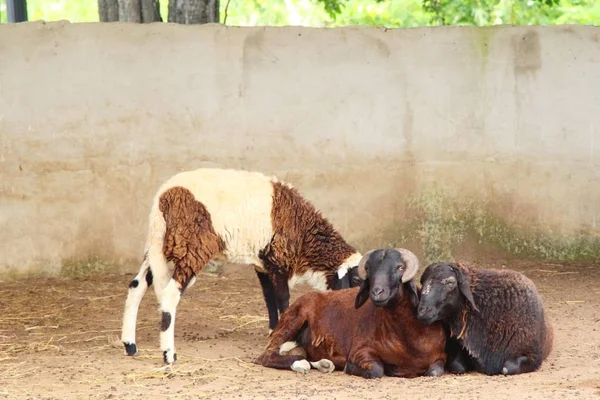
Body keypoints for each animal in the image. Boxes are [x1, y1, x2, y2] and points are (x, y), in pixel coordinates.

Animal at [253, 248, 446, 380]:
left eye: (399, 267)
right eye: (368, 269)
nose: (377, 292)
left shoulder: (440, 359)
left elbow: (434, 371)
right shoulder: (360, 351)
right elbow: (376, 370)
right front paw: (350, 368)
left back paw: (324, 364)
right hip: (293, 320)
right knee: (267, 355)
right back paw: (301, 364)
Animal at [418, 260, 552, 376]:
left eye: (450, 282)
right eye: (422, 282)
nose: (422, 311)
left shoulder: (533, 356)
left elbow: (507, 368)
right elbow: (458, 366)